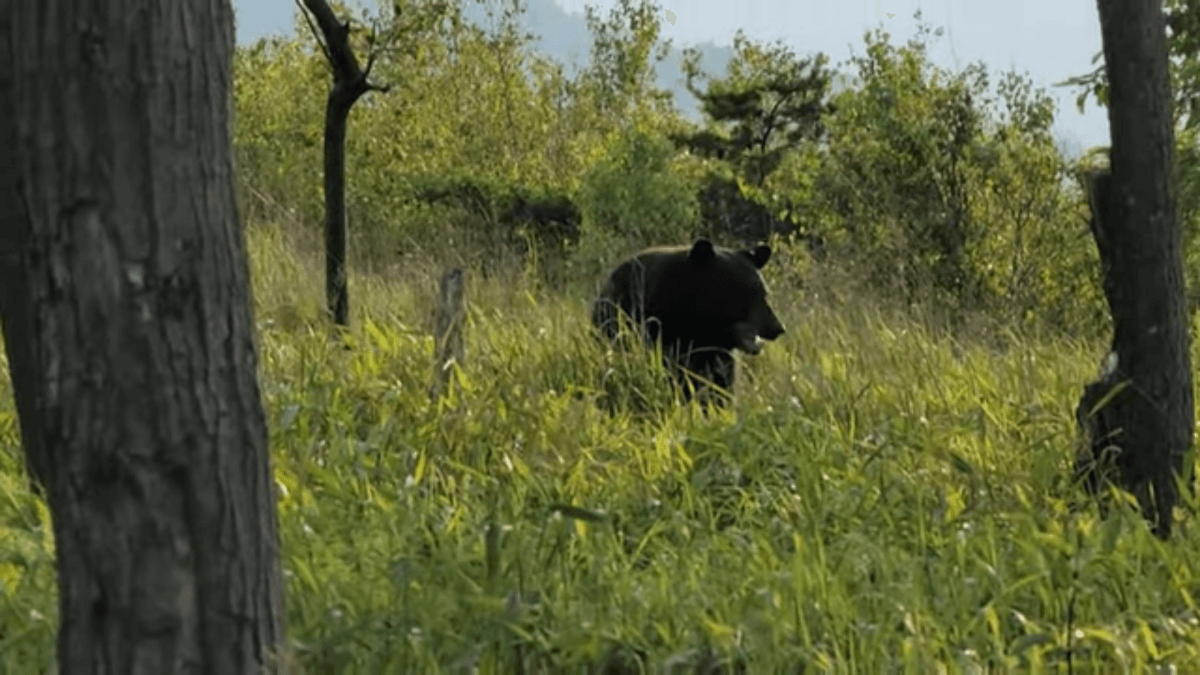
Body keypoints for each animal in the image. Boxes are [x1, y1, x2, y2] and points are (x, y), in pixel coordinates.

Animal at [590, 237, 787, 401]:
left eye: (764, 293)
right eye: (747, 293)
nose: (778, 328)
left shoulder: (718, 355)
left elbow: (720, 387)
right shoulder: (652, 326)